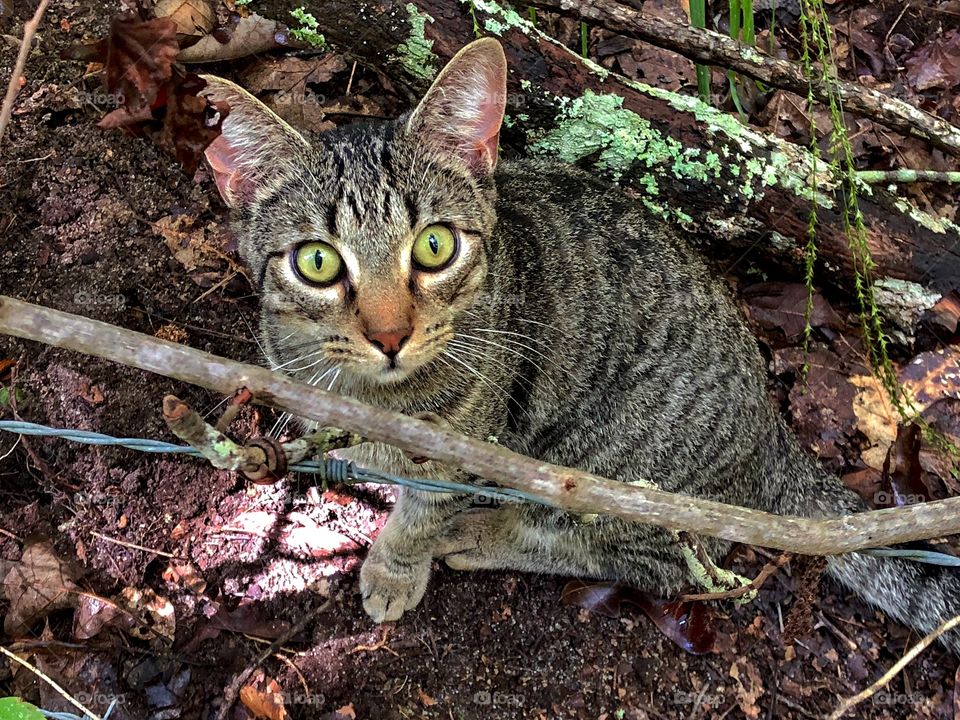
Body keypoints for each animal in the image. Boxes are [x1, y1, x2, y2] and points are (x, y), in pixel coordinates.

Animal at [199, 36, 956, 648]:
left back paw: (486, 532)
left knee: (650, 561)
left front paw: (395, 566)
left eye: (435, 247)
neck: (367, 399)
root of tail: (773, 434)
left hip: (614, 466)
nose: (389, 335)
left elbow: (423, 512)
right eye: (317, 262)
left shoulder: (462, 450)